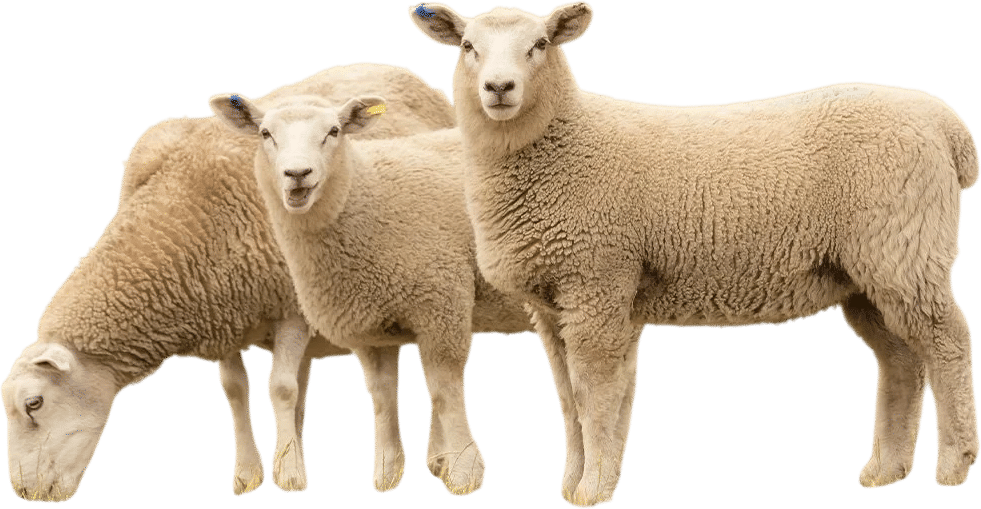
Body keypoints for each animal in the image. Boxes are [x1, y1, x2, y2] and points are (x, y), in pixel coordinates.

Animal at [1, 61, 456, 503]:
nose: (25, 492)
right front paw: (249, 475)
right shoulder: (221, 312)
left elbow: (281, 389)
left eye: (34, 403)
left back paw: (440, 460)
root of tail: (406, 74)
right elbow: (236, 391)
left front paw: (289, 475)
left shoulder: (291, 310)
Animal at [208, 92, 533, 496]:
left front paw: (464, 471)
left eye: (334, 131)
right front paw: (387, 472)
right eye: (265, 133)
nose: (297, 174)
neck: (368, 193)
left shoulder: (442, 302)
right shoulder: (369, 325)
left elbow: (444, 389)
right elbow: (382, 395)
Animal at [408, 1, 981, 507]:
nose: (499, 88)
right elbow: (570, 399)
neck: (562, 141)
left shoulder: (597, 278)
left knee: (948, 343)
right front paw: (577, 481)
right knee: (901, 359)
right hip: (865, 274)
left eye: (541, 44)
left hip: (904, 249)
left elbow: (595, 393)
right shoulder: (555, 299)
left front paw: (592, 488)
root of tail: (945, 124)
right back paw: (887, 469)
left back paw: (953, 464)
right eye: (467, 46)